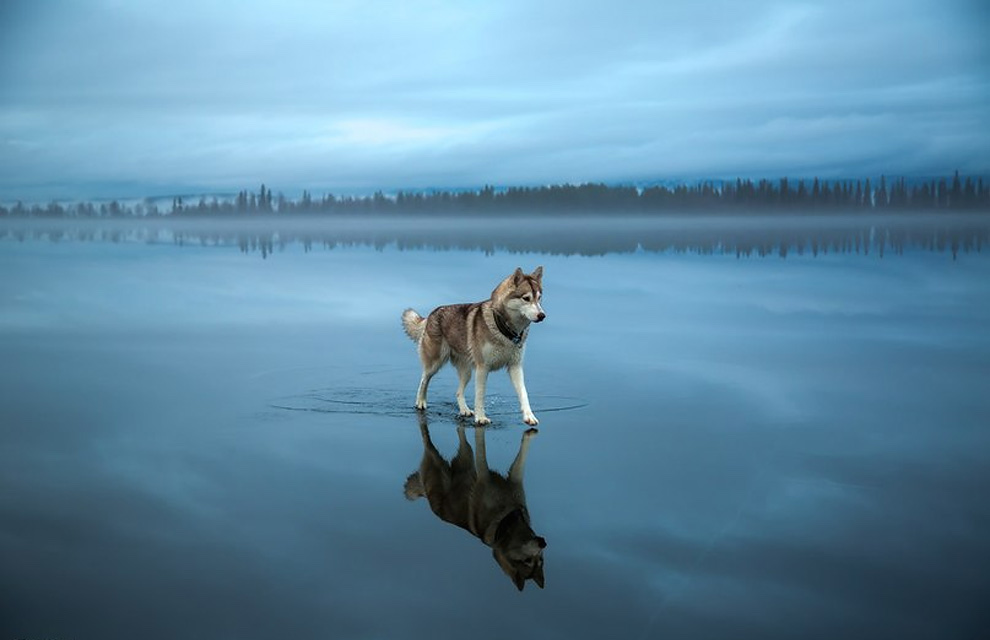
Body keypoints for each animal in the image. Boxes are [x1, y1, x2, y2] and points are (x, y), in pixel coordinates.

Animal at [400, 264, 548, 424]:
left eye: (539, 298)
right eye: (526, 298)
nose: (542, 315)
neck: (504, 329)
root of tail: (431, 314)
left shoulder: (515, 366)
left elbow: (523, 393)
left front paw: (529, 416)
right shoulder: (483, 368)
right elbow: (480, 395)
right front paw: (481, 418)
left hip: (467, 372)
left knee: (458, 392)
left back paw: (464, 410)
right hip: (435, 363)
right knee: (423, 380)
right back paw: (420, 402)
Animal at [404, 416, 552, 592]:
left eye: (540, 561)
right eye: (527, 561)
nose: (543, 543)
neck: (507, 519)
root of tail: (426, 496)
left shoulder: (515, 480)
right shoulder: (483, 476)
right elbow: (481, 453)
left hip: (465, 456)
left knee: (463, 439)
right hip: (436, 460)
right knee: (426, 439)